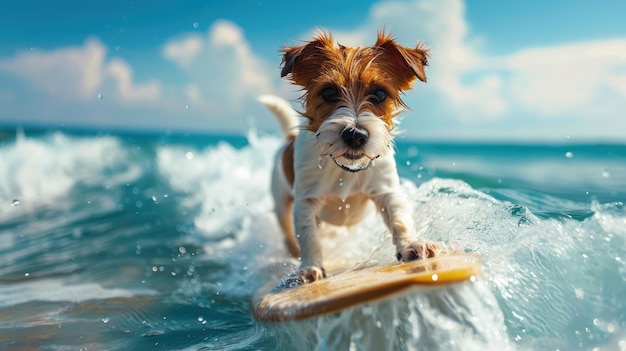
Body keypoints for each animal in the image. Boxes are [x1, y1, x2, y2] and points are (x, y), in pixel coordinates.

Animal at [260, 31, 446, 286]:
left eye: (380, 93)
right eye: (328, 92)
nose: (355, 134)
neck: (345, 168)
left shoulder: (386, 190)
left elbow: (399, 218)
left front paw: (411, 244)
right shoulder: (306, 202)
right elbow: (308, 236)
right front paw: (310, 267)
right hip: (281, 206)